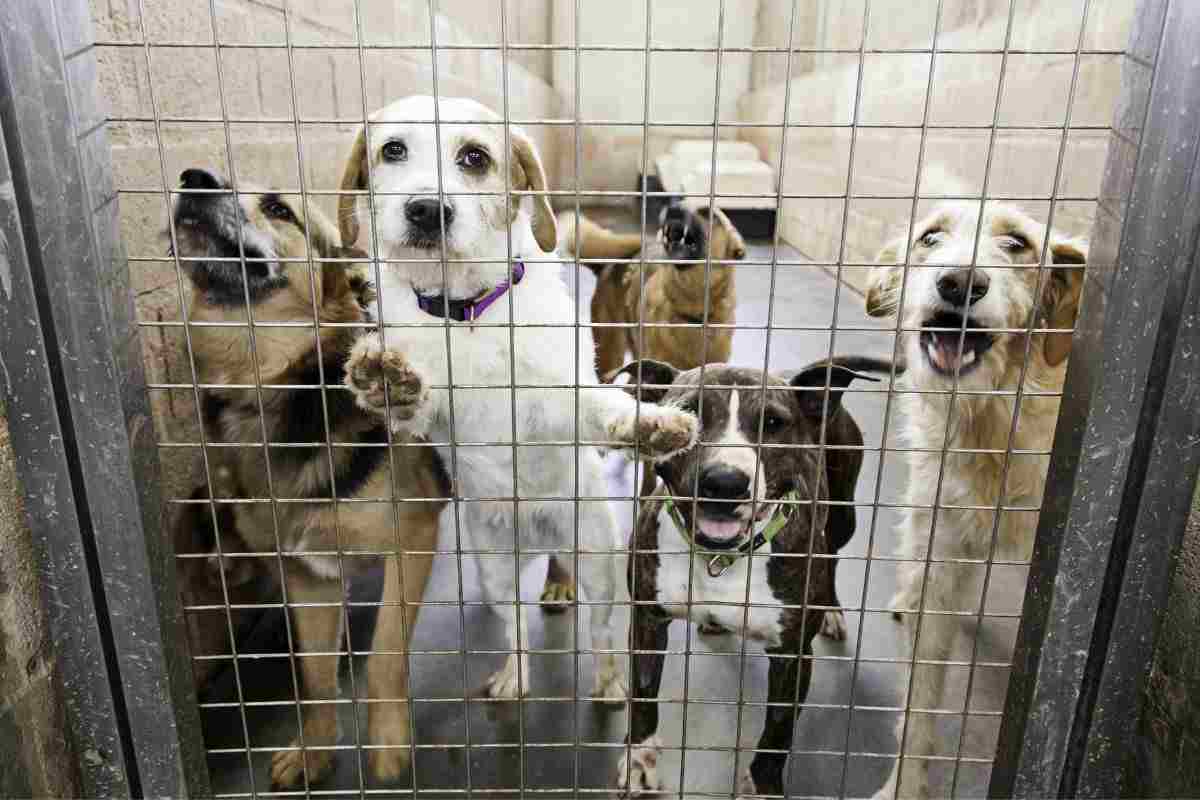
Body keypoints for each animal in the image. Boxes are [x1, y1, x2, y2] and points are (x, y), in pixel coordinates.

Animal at [171, 169, 448, 786]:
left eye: (279, 209)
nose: (193, 178)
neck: (263, 387)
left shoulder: (413, 538)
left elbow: (384, 657)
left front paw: (388, 743)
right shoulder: (307, 573)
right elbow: (316, 677)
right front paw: (315, 750)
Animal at [609, 357, 892, 800]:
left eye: (773, 423)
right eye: (688, 412)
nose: (724, 483)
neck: (721, 557)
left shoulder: (792, 655)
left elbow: (778, 730)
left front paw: (764, 784)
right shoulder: (647, 621)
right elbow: (642, 696)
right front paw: (638, 762)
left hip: (844, 514)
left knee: (832, 552)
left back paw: (831, 610)